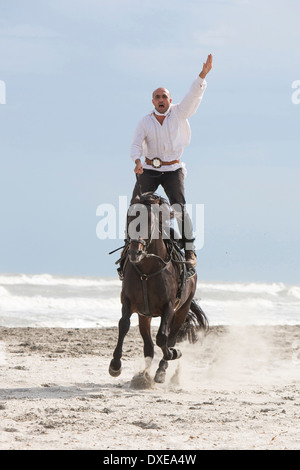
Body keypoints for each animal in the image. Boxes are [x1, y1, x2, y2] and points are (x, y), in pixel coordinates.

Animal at [108, 193, 209, 384]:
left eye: (149, 221)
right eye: (129, 219)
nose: (135, 252)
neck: (147, 271)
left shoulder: (168, 306)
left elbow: (163, 338)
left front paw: (173, 355)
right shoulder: (128, 301)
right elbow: (124, 324)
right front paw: (115, 365)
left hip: (182, 310)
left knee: (170, 337)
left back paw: (162, 369)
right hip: (144, 316)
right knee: (149, 346)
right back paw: (143, 376)